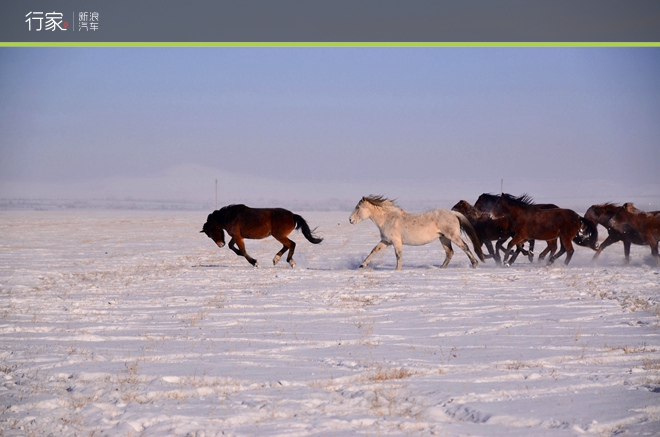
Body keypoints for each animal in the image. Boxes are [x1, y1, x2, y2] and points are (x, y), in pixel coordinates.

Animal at [350, 195, 484, 270]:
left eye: (358, 207)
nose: (350, 220)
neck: (388, 219)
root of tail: (453, 213)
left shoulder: (396, 241)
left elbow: (398, 255)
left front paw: (397, 269)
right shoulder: (386, 241)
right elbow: (374, 250)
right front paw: (362, 265)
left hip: (452, 236)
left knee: (464, 247)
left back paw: (475, 264)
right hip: (443, 238)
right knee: (449, 252)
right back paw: (441, 268)